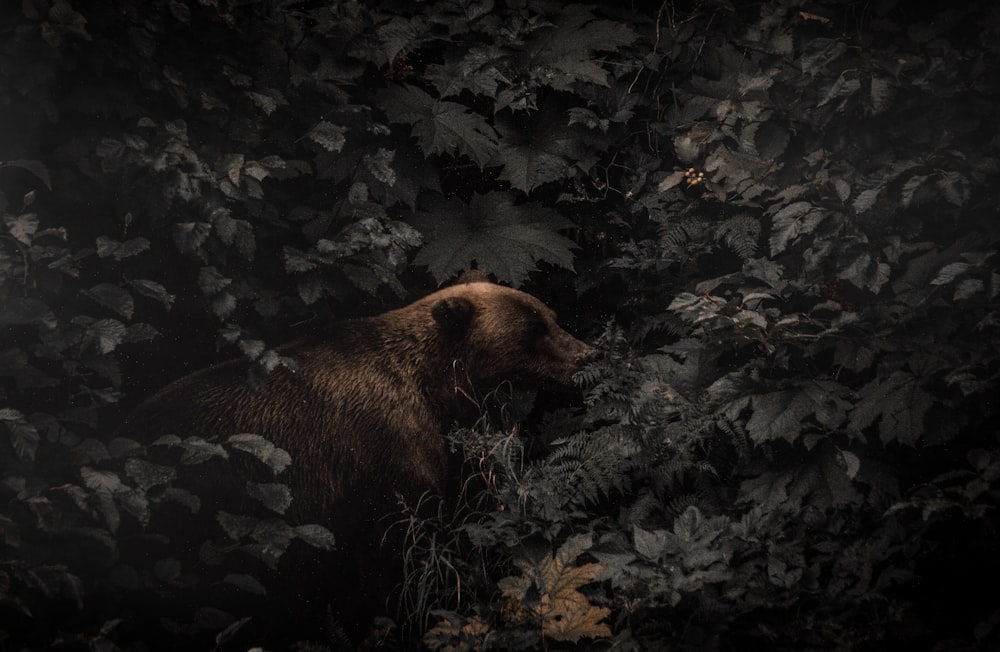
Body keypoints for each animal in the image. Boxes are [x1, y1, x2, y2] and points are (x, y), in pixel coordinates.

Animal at [112, 278, 592, 648]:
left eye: (550, 316)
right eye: (534, 329)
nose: (587, 355)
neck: (435, 388)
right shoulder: (383, 457)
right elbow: (404, 554)